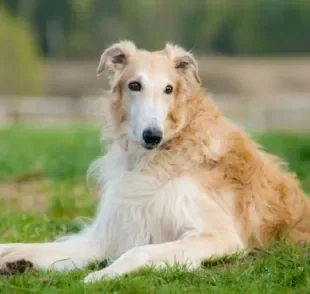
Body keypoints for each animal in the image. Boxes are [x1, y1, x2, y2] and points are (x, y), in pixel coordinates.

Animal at [0, 41, 310, 282]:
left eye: (169, 89)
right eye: (135, 85)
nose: (152, 136)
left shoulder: (221, 237)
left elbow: (139, 250)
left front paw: (102, 274)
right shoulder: (111, 233)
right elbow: (35, 247)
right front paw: (12, 258)